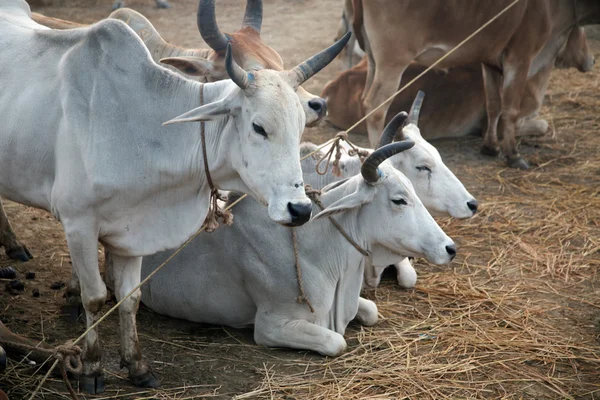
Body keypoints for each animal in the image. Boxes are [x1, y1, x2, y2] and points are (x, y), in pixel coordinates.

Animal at [0, 0, 350, 392]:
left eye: (300, 127)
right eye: (259, 127)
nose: (300, 208)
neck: (142, 125)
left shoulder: (132, 229)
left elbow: (129, 298)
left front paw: (137, 365)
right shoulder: (78, 224)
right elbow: (95, 296)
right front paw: (90, 368)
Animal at [136, 112, 454, 356]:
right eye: (399, 200)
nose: (450, 248)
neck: (317, 247)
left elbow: (372, 310)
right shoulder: (272, 326)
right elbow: (336, 342)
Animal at [352, 0, 600, 169]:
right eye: (582, 33)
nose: (592, 60)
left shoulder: (490, 63)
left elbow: (494, 105)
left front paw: (490, 147)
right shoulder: (520, 57)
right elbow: (510, 110)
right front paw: (513, 155)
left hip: (373, 60)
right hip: (393, 61)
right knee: (376, 106)